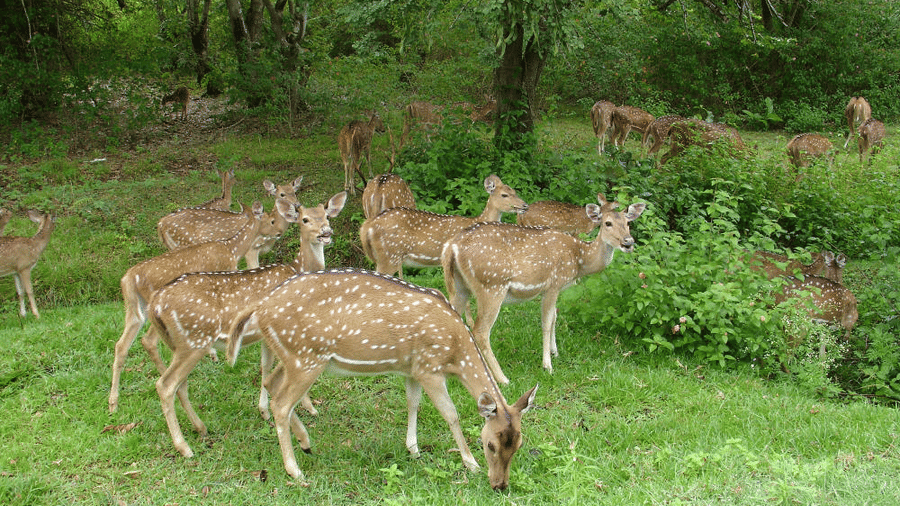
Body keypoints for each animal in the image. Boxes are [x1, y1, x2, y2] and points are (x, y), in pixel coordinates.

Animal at [108, 201, 265, 413]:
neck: (233, 249)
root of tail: (128, 278)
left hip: (134, 311)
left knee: (122, 345)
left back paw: (113, 404)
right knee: (149, 342)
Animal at [149, 192, 347, 459]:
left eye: (326, 215)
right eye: (304, 219)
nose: (325, 232)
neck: (297, 269)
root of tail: (156, 304)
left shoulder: (267, 337)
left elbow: (264, 368)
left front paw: (264, 411)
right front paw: (308, 408)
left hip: (178, 342)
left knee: (180, 384)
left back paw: (200, 428)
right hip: (194, 339)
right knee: (165, 385)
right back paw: (184, 447)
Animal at [226, 268, 538, 490]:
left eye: (519, 445)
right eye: (490, 444)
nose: (499, 485)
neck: (455, 351)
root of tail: (259, 308)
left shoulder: (412, 369)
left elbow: (413, 404)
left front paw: (413, 449)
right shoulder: (429, 367)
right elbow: (450, 414)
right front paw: (470, 463)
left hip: (293, 357)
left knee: (271, 383)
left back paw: (306, 442)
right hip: (307, 358)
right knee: (280, 403)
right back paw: (296, 471)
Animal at [442, 194, 646, 385]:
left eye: (628, 223)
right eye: (607, 223)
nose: (628, 242)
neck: (579, 259)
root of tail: (452, 247)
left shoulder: (557, 289)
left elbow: (555, 316)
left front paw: (555, 351)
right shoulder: (553, 284)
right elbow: (547, 322)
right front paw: (547, 365)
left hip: (460, 287)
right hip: (491, 285)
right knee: (480, 331)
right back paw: (502, 378)